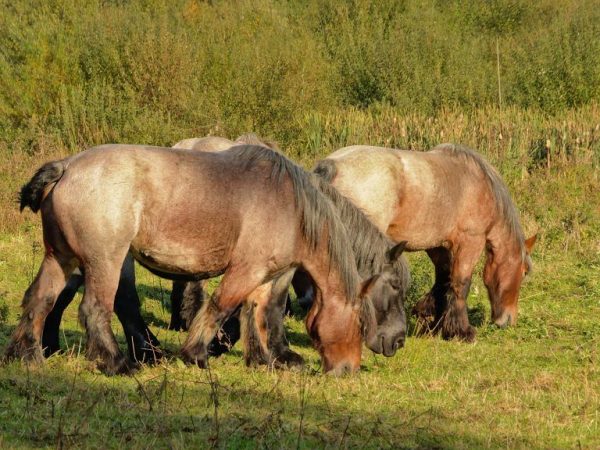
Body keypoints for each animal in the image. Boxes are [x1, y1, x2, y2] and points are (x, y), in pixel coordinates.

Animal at [4, 145, 384, 376]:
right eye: (361, 324)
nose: (349, 369)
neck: (289, 202)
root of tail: (66, 167)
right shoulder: (245, 271)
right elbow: (220, 307)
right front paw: (196, 354)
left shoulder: (263, 277)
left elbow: (255, 316)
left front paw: (261, 360)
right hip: (104, 263)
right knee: (95, 310)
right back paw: (119, 363)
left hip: (60, 259)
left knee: (39, 301)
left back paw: (27, 356)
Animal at [312, 144, 536, 342]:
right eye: (524, 272)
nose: (508, 320)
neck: (480, 184)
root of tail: (332, 165)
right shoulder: (470, 242)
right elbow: (461, 283)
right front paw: (463, 332)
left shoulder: (439, 246)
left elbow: (444, 280)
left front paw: (434, 323)